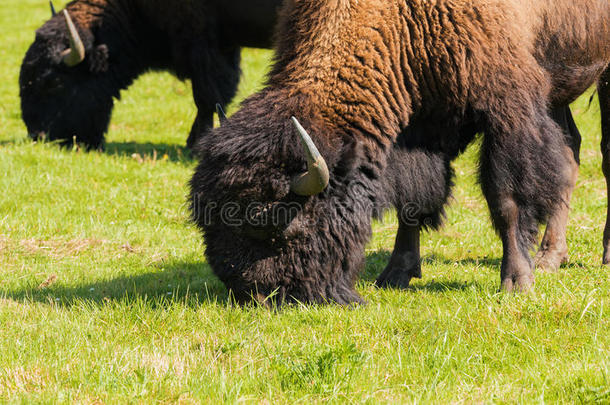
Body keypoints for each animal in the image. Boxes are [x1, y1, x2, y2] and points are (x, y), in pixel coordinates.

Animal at [19, 0, 282, 150]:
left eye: (54, 82)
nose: (37, 135)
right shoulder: (224, 45)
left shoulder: (200, 41)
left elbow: (206, 97)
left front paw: (196, 145)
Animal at [190, 0, 608, 304]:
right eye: (210, 224)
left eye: (282, 231)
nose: (255, 295)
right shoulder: (414, 126)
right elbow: (412, 203)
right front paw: (396, 274)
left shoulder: (507, 110)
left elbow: (506, 200)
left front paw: (516, 282)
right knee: (570, 153)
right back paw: (551, 257)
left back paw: (598, 255)